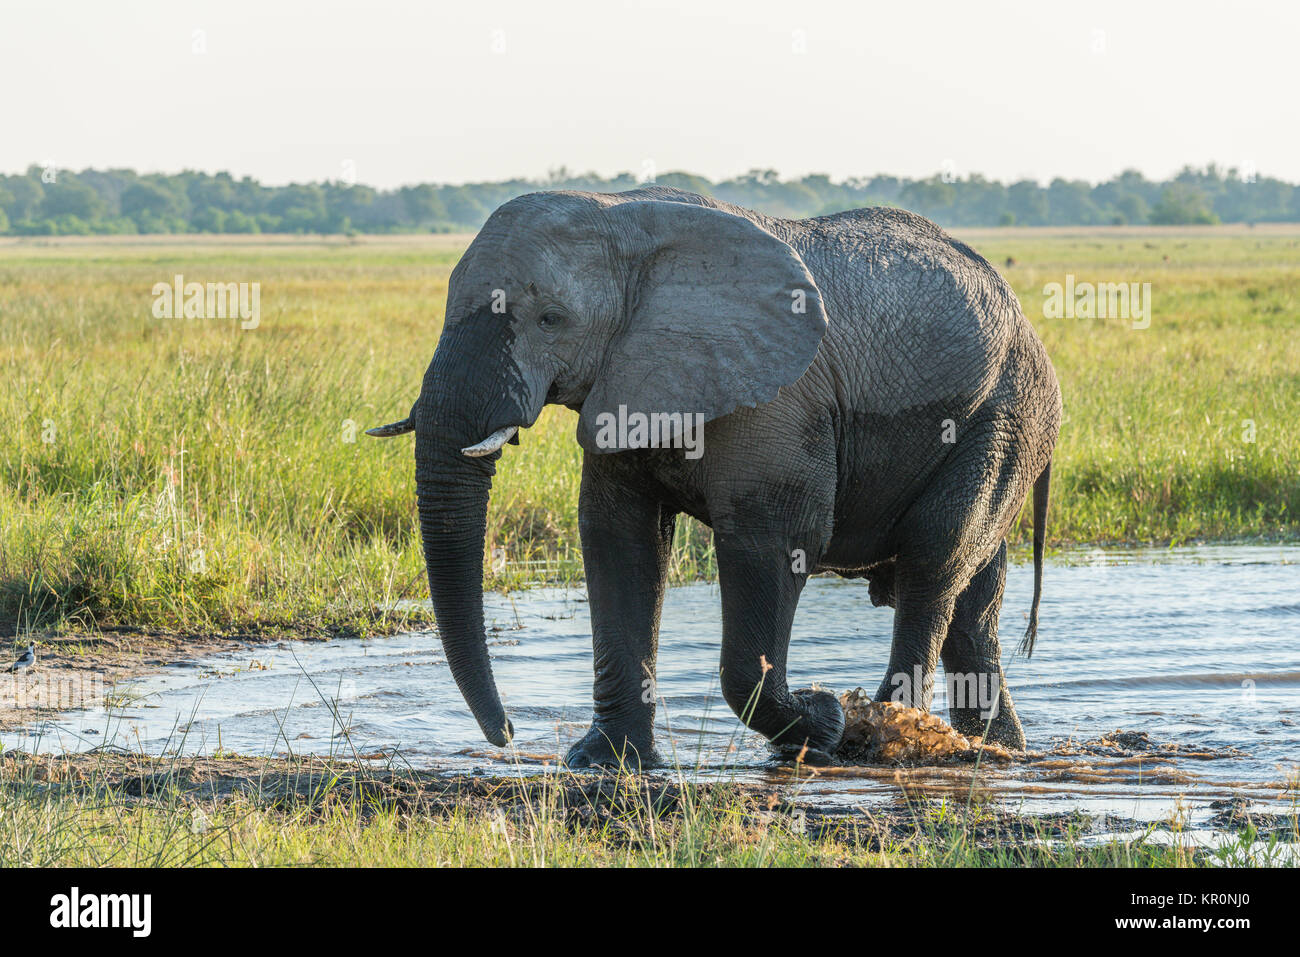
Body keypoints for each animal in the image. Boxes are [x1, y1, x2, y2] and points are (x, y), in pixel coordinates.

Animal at [369, 186, 1061, 768]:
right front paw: (604, 764)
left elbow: (775, 538)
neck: (621, 213)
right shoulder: (629, 376)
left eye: (550, 319)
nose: (508, 736)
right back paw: (994, 751)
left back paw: (884, 742)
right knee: (972, 606)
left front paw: (826, 721)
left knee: (933, 564)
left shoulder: (781, 405)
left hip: (1004, 418)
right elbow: (620, 538)